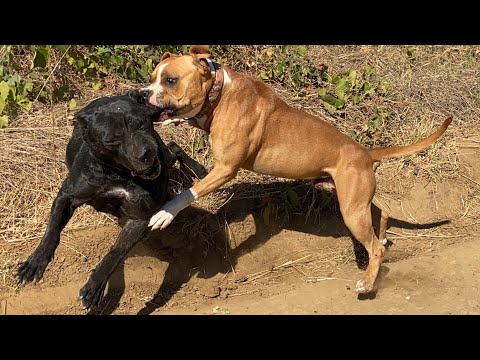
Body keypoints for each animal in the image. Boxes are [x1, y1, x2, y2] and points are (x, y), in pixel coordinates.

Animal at [15, 90, 204, 312]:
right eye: (112, 141)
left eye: (141, 123)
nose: (146, 153)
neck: (119, 173)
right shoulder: (67, 196)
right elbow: (52, 229)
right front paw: (36, 261)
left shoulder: (140, 216)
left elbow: (116, 252)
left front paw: (95, 285)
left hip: (165, 156)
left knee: (174, 148)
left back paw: (200, 170)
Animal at [141, 45, 452, 294]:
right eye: (152, 78)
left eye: (170, 80)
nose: (143, 94)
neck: (219, 94)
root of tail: (365, 153)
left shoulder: (226, 168)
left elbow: (187, 194)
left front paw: (164, 214)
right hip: (354, 201)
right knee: (382, 214)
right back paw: (382, 238)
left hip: (351, 210)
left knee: (375, 249)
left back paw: (366, 282)